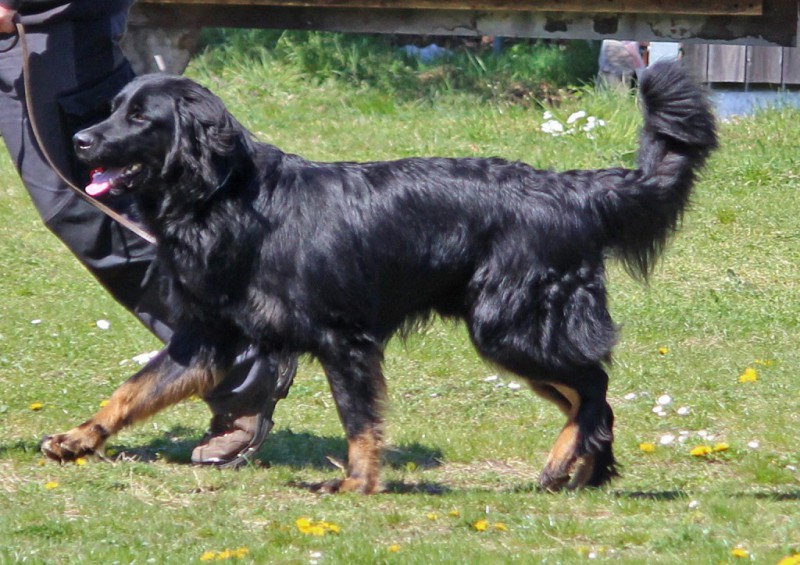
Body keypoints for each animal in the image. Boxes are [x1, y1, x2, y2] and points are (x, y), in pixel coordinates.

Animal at [41, 61, 716, 493]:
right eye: (111, 110)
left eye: (140, 117)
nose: (78, 139)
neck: (225, 198)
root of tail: (573, 190)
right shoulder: (208, 338)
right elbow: (132, 389)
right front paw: (78, 438)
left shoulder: (345, 339)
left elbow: (358, 419)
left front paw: (358, 484)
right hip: (519, 336)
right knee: (591, 399)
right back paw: (586, 473)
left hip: (511, 327)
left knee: (595, 386)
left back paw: (564, 467)